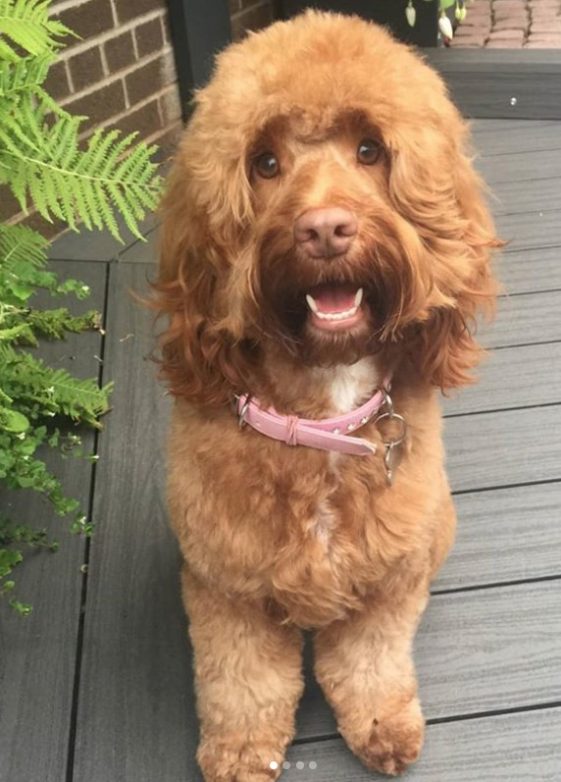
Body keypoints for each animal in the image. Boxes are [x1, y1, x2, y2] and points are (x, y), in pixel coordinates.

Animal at [152, 9, 498, 780]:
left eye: (370, 149)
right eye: (264, 163)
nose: (325, 228)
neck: (323, 419)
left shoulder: (386, 582)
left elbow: (369, 661)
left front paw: (381, 722)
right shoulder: (225, 589)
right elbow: (242, 682)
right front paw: (241, 751)